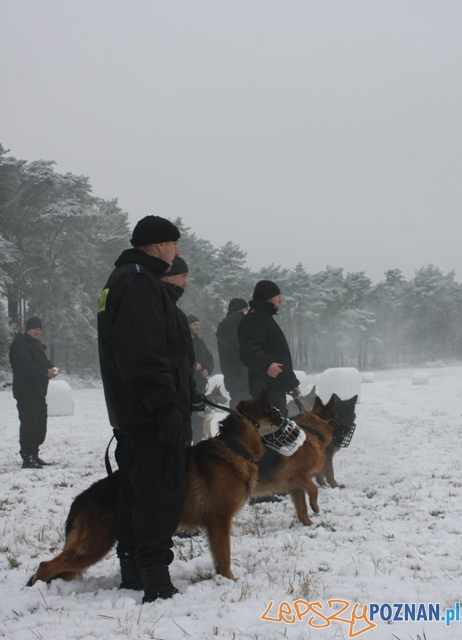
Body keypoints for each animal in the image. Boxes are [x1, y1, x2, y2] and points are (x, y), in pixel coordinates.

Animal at [28, 388, 284, 588]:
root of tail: (80, 500)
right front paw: (230, 581)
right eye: (275, 413)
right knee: (44, 566)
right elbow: (225, 556)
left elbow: (219, 558)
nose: (285, 419)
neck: (234, 446)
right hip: (93, 546)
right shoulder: (220, 521)